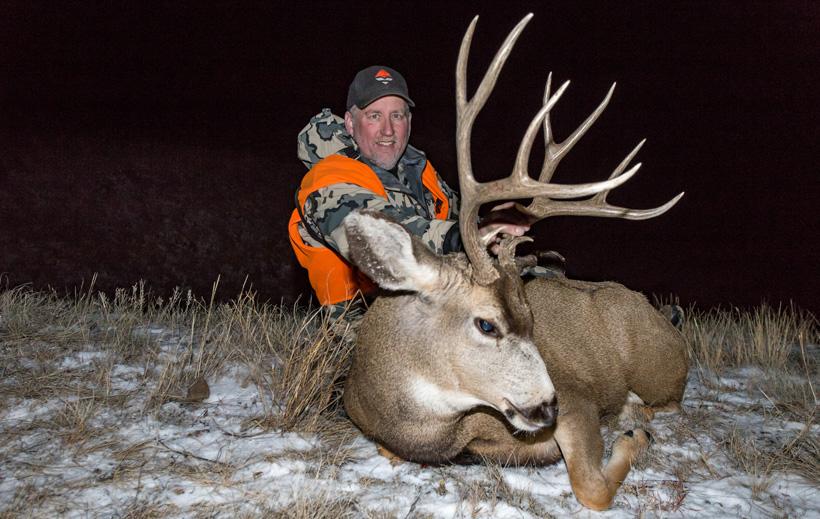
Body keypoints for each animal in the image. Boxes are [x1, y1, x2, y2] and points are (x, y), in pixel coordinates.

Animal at [340, 13, 688, 511]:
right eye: (487, 324)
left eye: (531, 319)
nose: (547, 406)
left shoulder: (578, 400)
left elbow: (592, 488)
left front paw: (633, 438)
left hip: (656, 369)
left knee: (671, 401)